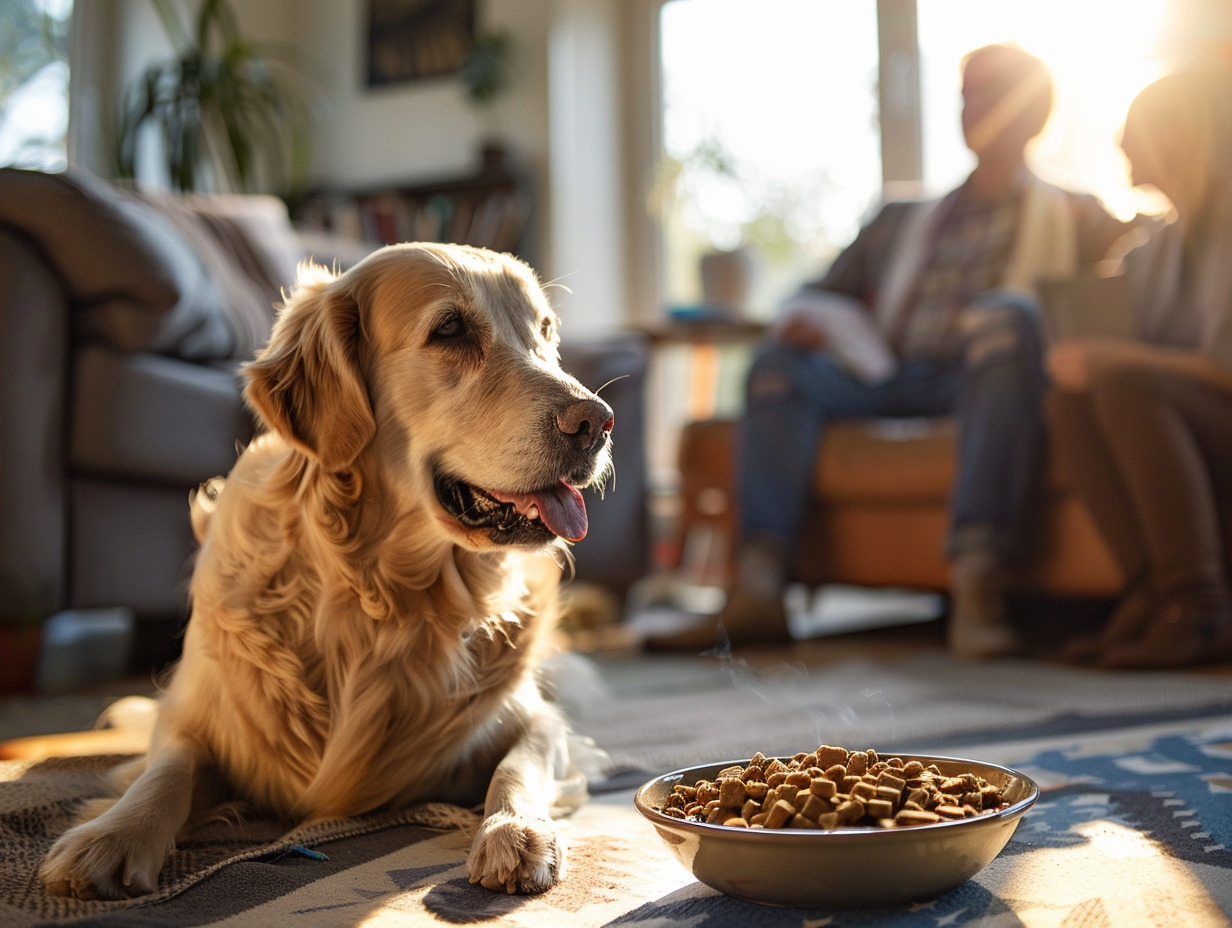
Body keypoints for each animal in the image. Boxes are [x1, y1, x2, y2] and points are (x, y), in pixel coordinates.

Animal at [40, 240, 616, 897]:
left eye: (546, 333)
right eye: (450, 329)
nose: (598, 422)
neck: (382, 595)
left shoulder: (537, 719)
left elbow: (520, 762)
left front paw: (514, 829)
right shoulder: (198, 721)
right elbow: (164, 772)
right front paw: (111, 836)